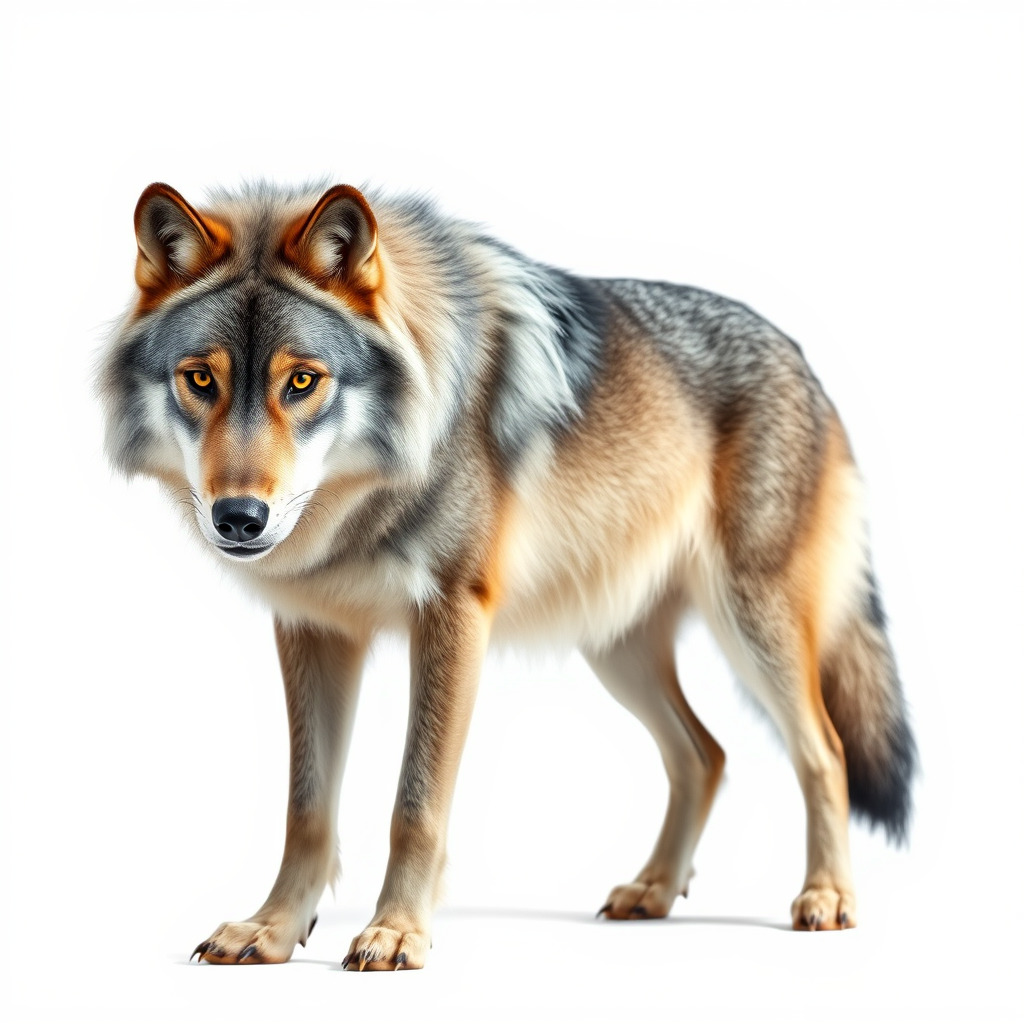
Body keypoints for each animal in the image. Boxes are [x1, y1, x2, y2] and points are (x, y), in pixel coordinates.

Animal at [98, 180, 916, 969]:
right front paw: (272, 930)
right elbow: (306, 809)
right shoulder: (313, 628)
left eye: (302, 381)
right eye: (200, 379)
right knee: (704, 754)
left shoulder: (454, 616)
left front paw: (397, 932)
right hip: (616, 651)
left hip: (752, 627)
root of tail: (800, 357)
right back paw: (653, 889)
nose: (239, 518)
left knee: (824, 751)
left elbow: (415, 804)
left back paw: (827, 896)